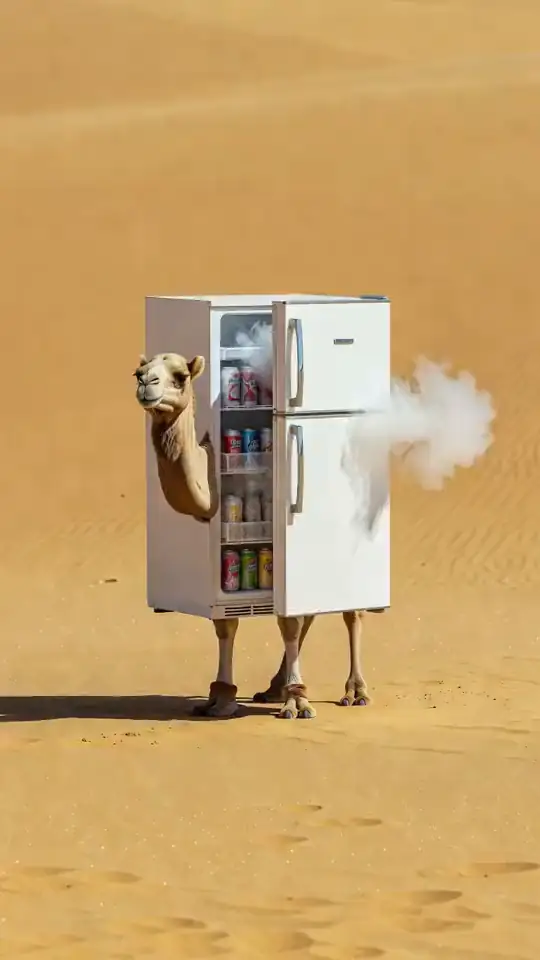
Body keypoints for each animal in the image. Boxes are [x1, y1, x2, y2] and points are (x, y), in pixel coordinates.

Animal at [134, 352, 371, 719]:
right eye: (138, 372)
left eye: (181, 376)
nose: (147, 384)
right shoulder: (223, 577)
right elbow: (226, 626)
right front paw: (221, 696)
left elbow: (289, 624)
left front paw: (297, 701)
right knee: (309, 608)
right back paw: (274, 686)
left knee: (351, 611)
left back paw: (355, 690)